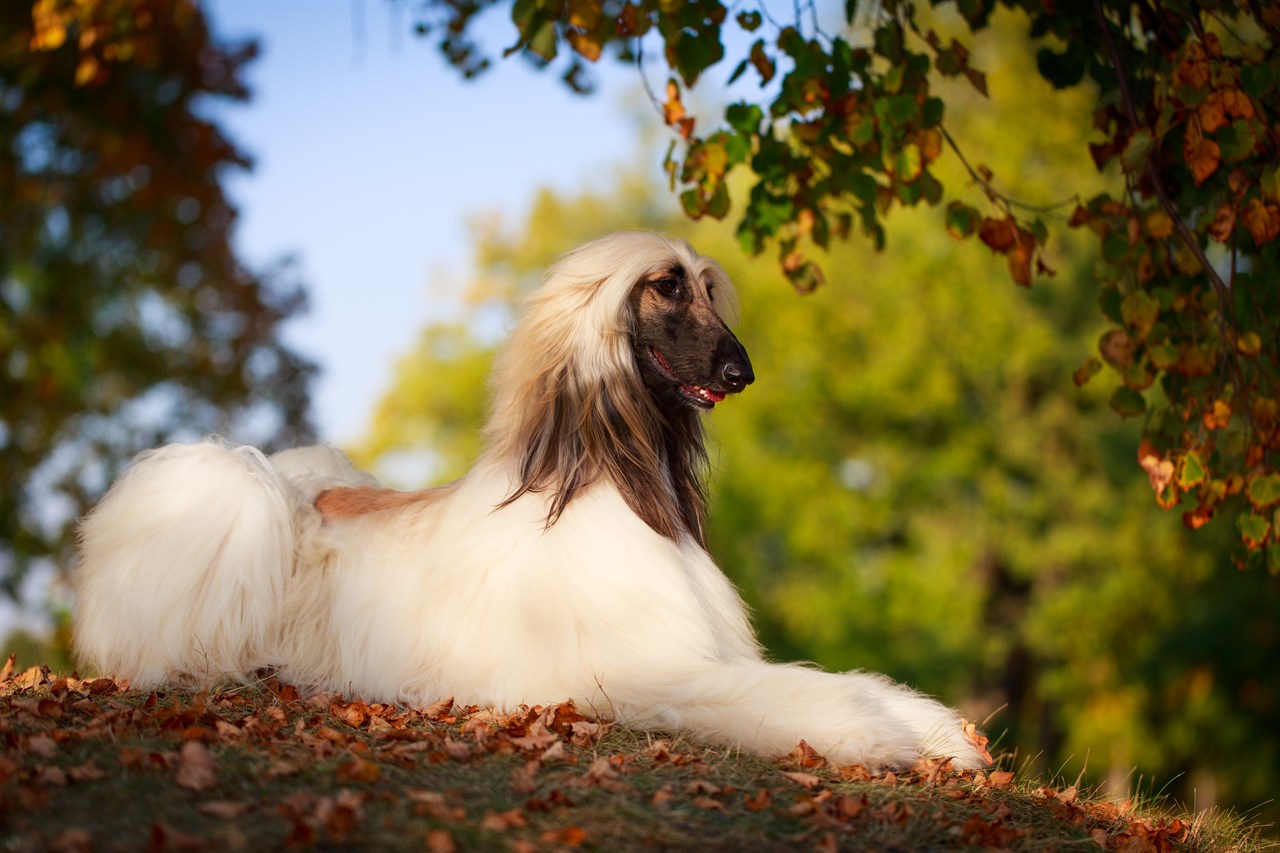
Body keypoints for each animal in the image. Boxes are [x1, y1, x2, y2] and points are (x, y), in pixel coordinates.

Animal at [72, 233, 988, 768]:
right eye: (665, 287)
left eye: (705, 287)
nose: (742, 371)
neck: (608, 484)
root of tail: (296, 489)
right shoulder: (641, 671)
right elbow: (786, 696)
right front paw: (875, 732)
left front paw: (939, 729)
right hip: (225, 520)